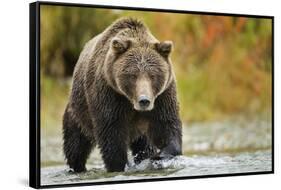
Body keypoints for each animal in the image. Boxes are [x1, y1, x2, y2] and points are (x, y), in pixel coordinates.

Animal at [61, 17, 182, 172]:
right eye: (133, 75)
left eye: (153, 75)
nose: (144, 100)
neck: (130, 101)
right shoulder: (109, 94)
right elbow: (111, 134)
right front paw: (120, 165)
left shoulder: (162, 96)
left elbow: (167, 125)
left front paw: (159, 156)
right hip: (78, 113)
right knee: (75, 145)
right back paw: (77, 168)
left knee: (144, 144)